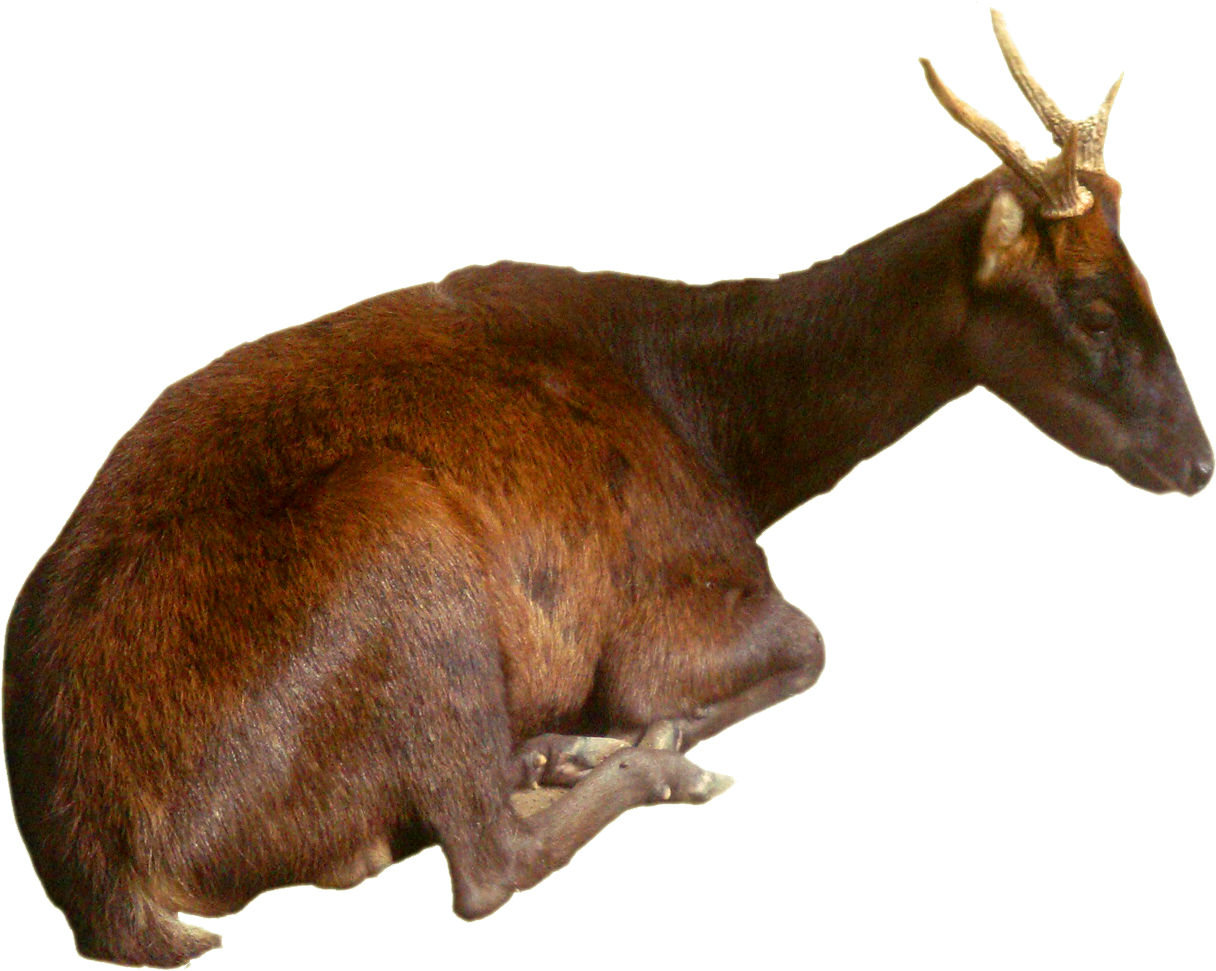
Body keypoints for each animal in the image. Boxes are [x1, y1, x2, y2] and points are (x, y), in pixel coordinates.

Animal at [3, 8, 1209, 967]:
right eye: (1094, 308)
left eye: (1146, 279)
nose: (1199, 461)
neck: (726, 432)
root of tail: (105, 873)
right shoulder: (658, 612)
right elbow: (804, 644)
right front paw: (638, 738)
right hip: (405, 546)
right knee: (485, 862)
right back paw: (631, 769)